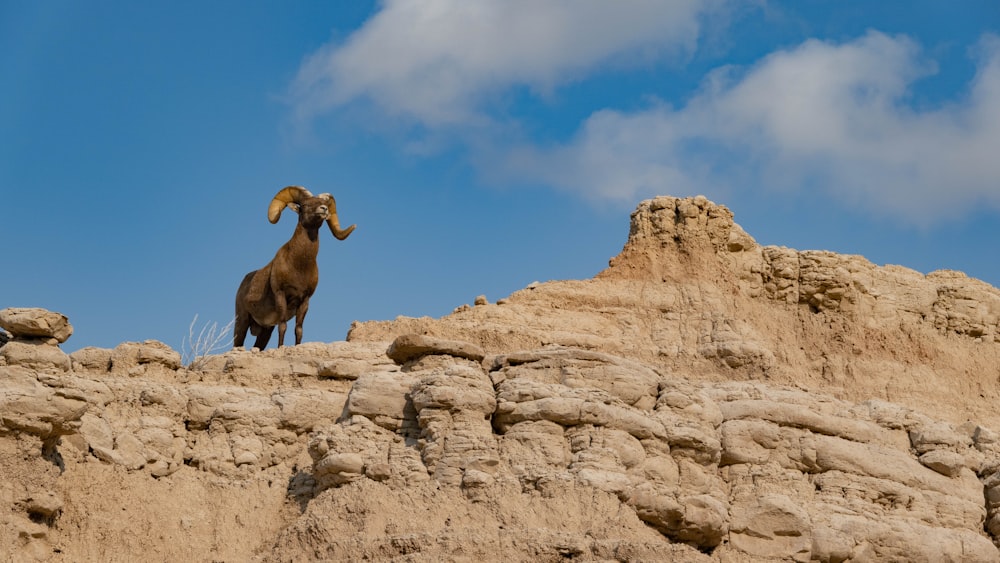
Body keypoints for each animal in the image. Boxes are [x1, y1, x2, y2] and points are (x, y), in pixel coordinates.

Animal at [235, 187, 358, 350]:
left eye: (324, 203)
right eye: (305, 205)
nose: (323, 209)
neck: (299, 267)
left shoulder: (304, 300)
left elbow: (298, 329)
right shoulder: (281, 295)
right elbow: (283, 326)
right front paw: (281, 348)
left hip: (265, 331)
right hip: (241, 321)